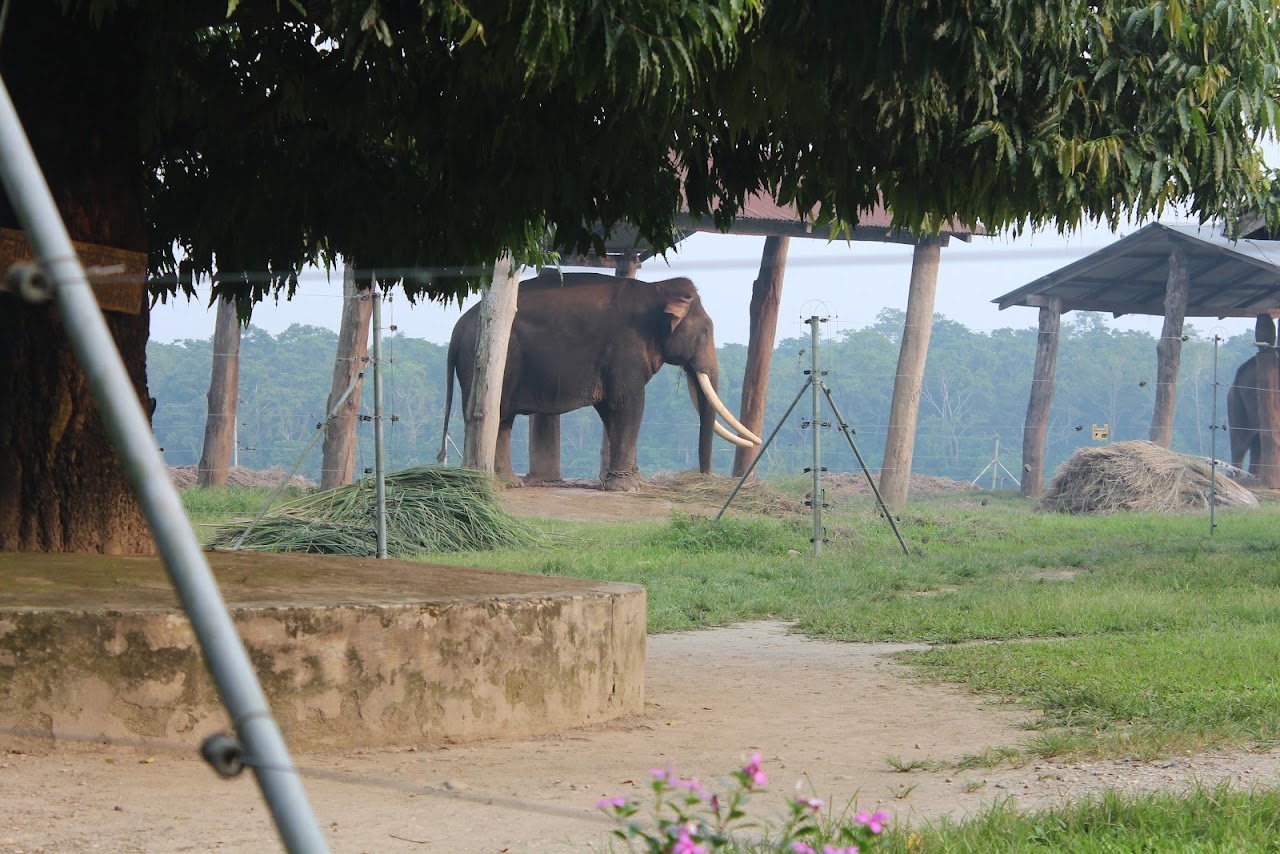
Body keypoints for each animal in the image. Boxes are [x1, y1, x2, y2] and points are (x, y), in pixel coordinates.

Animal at [440, 270, 757, 491]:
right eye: (706, 332)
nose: (704, 479)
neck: (656, 287)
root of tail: (457, 328)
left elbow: (611, 410)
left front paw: (633, 481)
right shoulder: (626, 347)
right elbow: (629, 404)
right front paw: (627, 488)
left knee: (501, 419)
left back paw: (507, 482)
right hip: (492, 361)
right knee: (496, 414)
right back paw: (500, 482)